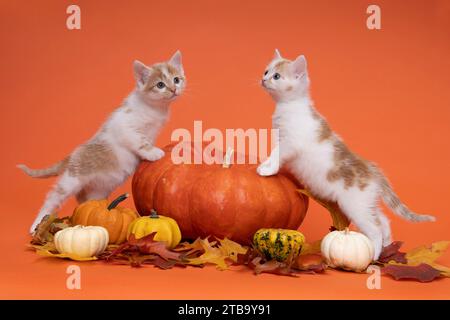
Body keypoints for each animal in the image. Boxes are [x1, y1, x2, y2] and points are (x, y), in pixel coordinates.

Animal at [19, 51, 186, 234]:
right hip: (71, 179)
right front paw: (154, 152)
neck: (155, 108)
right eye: (160, 84)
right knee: (53, 198)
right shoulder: (125, 126)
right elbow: (139, 141)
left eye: (176, 79)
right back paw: (37, 225)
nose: (174, 89)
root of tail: (71, 156)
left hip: (96, 190)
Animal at [258, 50, 434, 260]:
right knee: (383, 221)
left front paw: (267, 169)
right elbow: (274, 152)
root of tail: (372, 170)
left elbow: (277, 153)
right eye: (266, 71)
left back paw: (374, 256)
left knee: (375, 228)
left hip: (355, 205)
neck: (290, 106)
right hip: (367, 202)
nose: (263, 79)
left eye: (276, 76)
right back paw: (387, 247)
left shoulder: (290, 142)